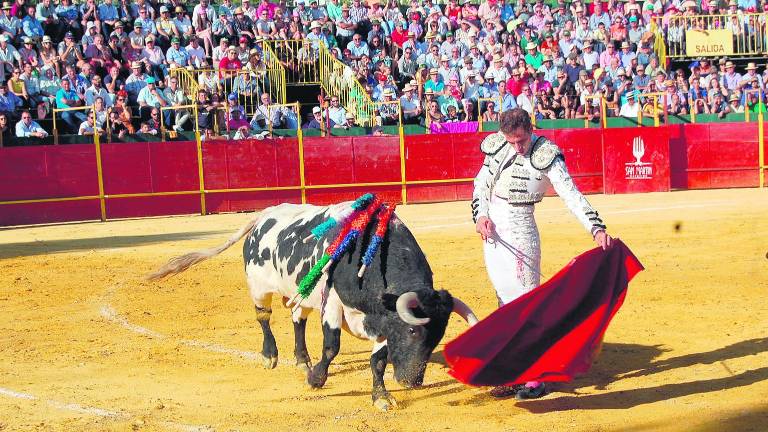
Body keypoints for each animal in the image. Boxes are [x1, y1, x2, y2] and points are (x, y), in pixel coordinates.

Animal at [147, 202, 476, 408]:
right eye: (412, 331)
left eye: (438, 336)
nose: (411, 381)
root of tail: (264, 215)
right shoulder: (333, 305)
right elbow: (332, 347)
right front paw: (315, 379)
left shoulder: (381, 322)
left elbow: (378, 361)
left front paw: (381, 397)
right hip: (258, 286)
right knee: (263, 317)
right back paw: (271, 356)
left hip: (303, 295)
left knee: (297, 317)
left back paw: (301, 358)